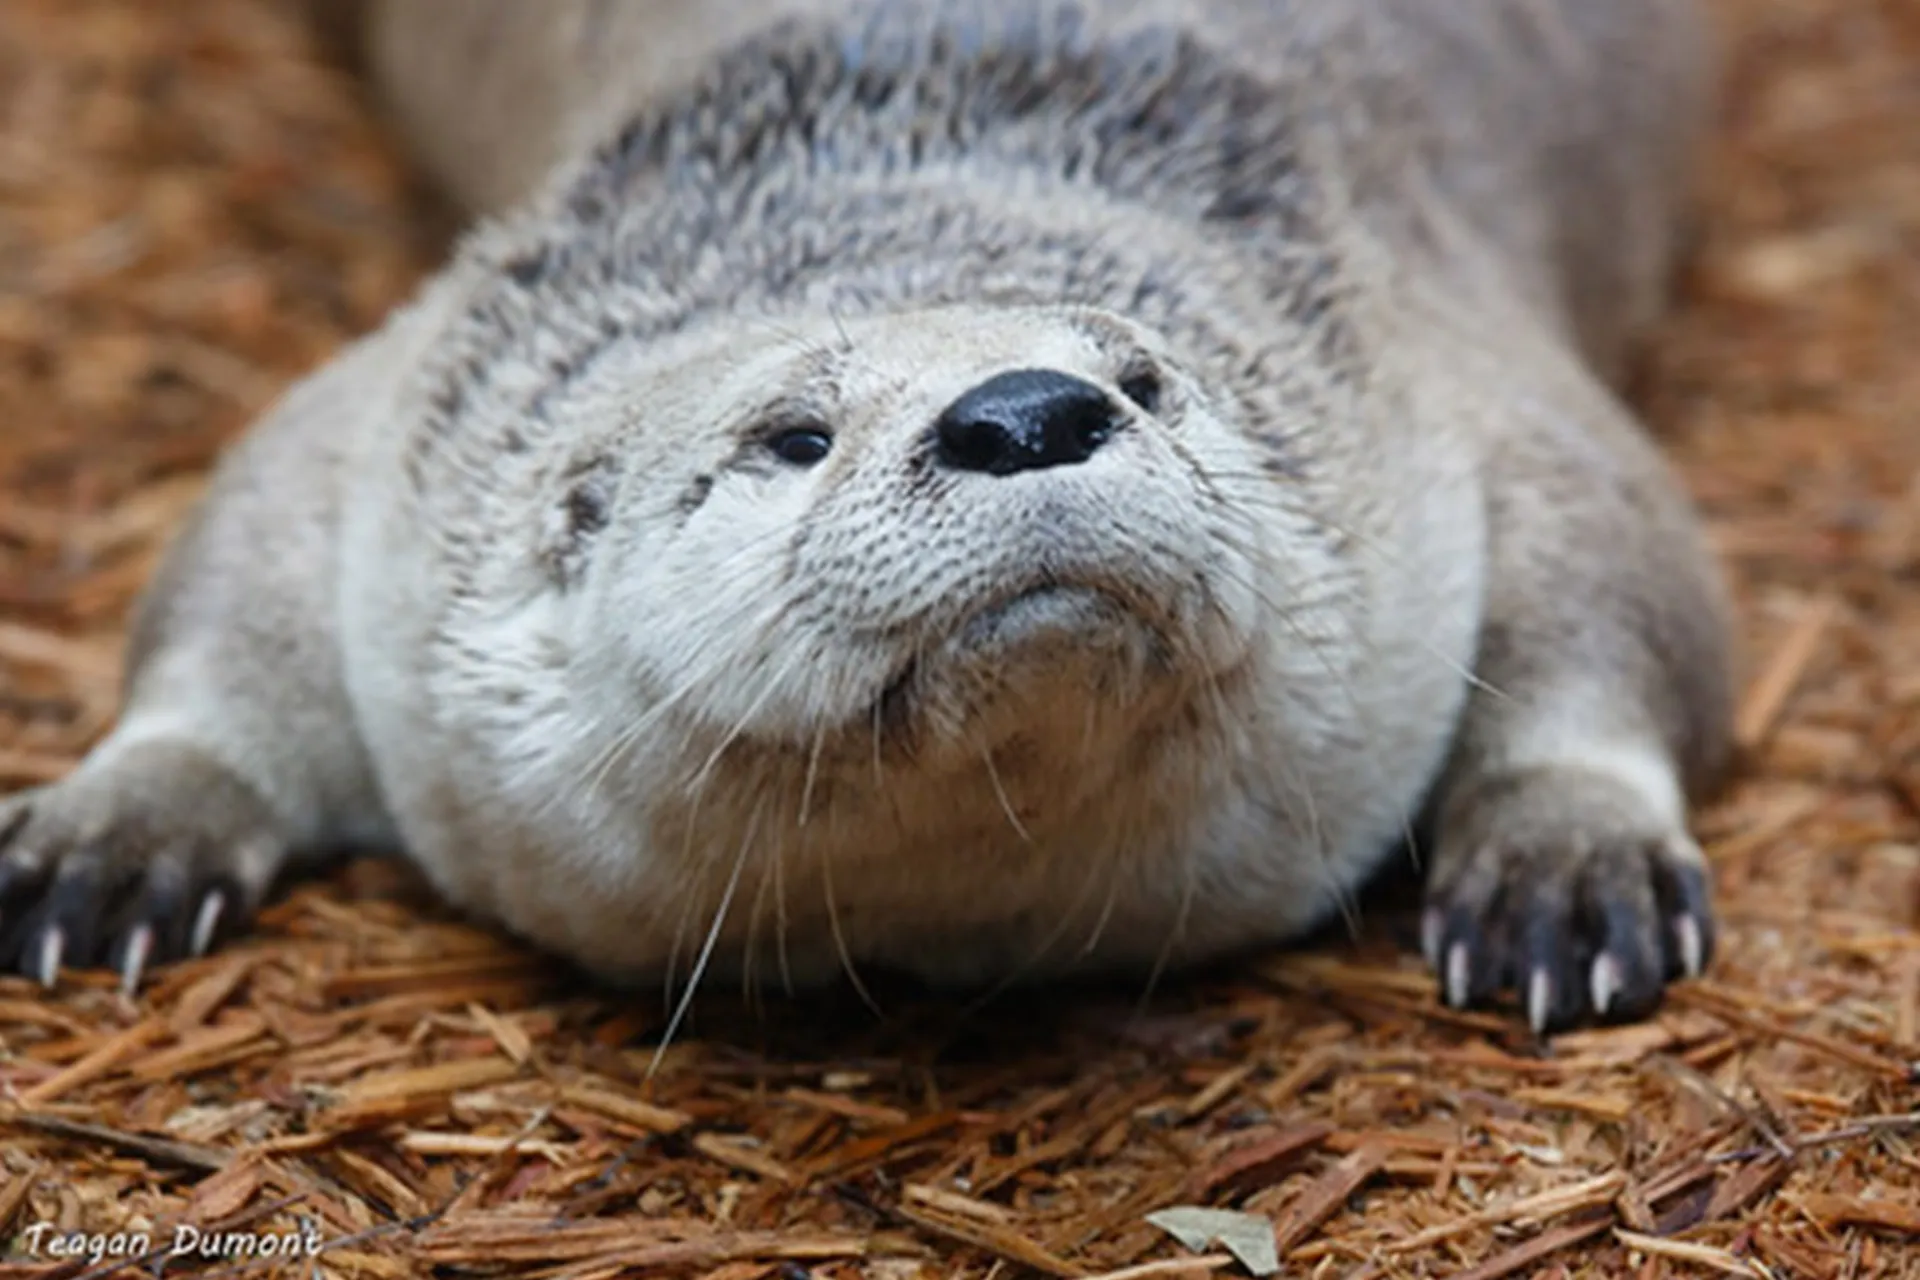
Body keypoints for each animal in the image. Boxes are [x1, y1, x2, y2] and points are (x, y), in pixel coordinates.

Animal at [0, 0, 1732, 1033]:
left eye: (1144, 378)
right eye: (795, 435)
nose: (1029, 411)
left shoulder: (1460, 373)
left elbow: (1618, 576)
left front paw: (1570, 864)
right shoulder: (386, 432)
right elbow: (242, 565)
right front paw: (116, 834)